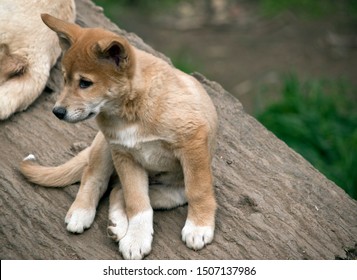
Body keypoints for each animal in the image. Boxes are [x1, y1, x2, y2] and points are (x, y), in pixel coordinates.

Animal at [20, 14, 218, 260]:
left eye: (85, 83)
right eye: (64, 79)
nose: (57, 112)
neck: (132, 108)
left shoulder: (193, 143)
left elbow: (197, 190)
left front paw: (199, 227)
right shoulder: (124, 154)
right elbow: (136, 202)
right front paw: (136, 238)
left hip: (173, 189)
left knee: (119, 190)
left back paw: (116, 224)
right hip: (105, 148)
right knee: (95, 178)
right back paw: (84, 213)